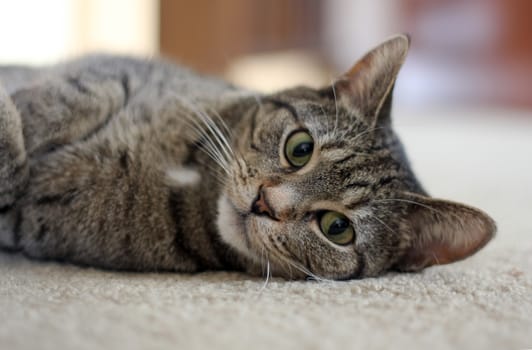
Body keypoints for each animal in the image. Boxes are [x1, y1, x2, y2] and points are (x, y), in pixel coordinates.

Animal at [0, 35, 496, 280]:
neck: (188, 175)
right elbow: (78, 93)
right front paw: (23, 113)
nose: (265, 202)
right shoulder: (117, 69)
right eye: (300, 148)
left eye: (337, 228)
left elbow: (13, 175)